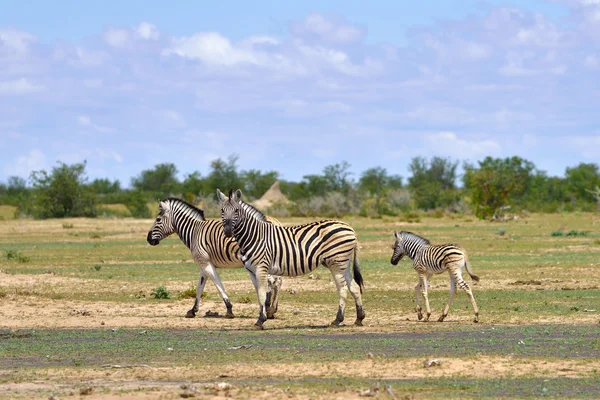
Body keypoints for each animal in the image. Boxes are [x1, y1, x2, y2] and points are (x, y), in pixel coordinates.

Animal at [148, 197, 284, 318]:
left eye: (158, 219)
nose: (148, 239)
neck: (194, 231)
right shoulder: (204, 264)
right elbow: (199, 287)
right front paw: (193, 310)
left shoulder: (206, 263)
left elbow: (218, 285)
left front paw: (229, 310)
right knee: (277, 281)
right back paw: (272, 309)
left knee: (272, 281)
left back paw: (269, 308)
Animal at [217, 189, 366, 330]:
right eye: (222, 210)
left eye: (236, 210)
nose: (228, 232)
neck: (254, 236)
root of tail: (350, 228)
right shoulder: (251, 271)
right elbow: (259, 294)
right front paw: (262, 317)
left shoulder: (261, 268)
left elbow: (262, 294)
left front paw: (260, 321)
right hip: (344, 263)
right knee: (354, 287)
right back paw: (359, 318)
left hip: (336, 263)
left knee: (343, 289)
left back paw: (337, 320)